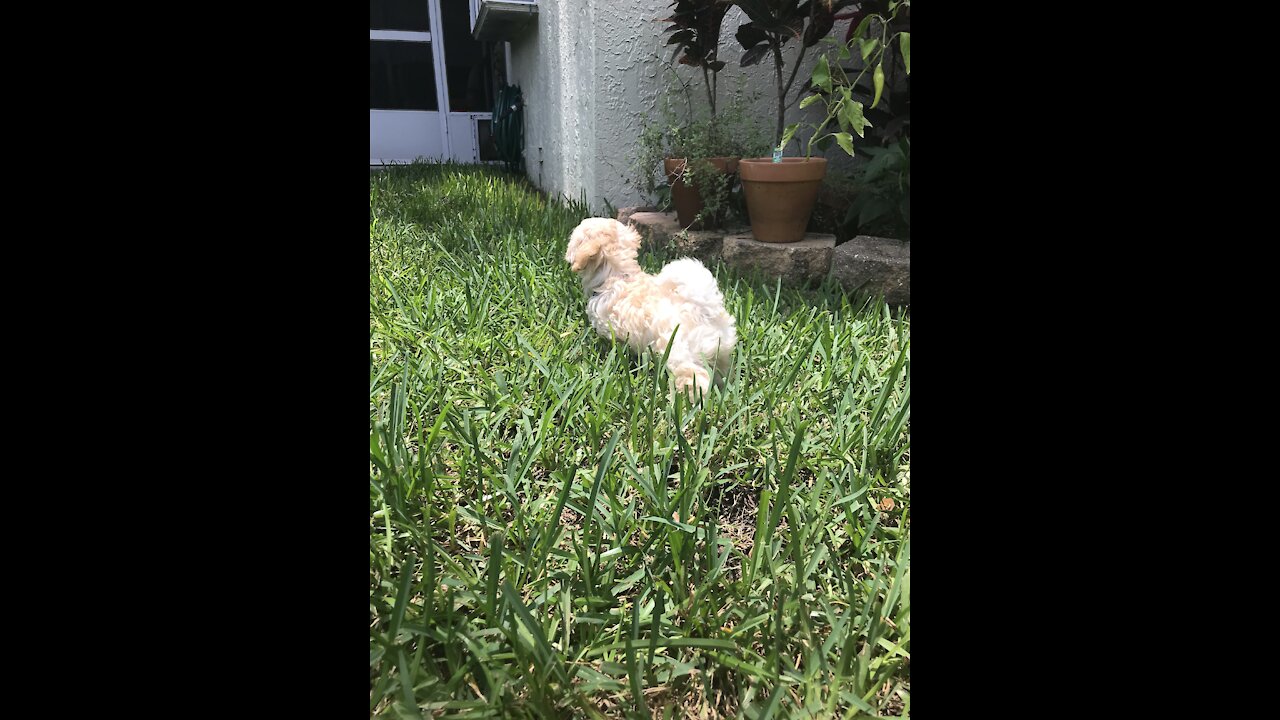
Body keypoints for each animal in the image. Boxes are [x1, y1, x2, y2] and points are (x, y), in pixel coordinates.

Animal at [565, 219, 737, 397]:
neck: (619, 275)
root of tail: (704, 308)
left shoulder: (609, 329)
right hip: (721, 351)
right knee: (721, 372)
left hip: (679, 353)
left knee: (694, 376)